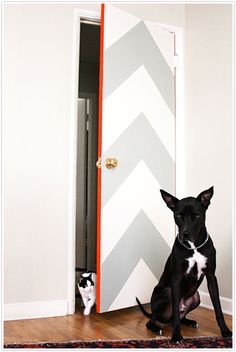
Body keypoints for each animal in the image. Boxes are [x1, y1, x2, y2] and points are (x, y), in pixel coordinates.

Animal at [136, 187, 232, 344]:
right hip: (166, 293)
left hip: (196, 297)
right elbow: (175, 313)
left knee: (181, 317)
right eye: (179, 216)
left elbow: (218, 308)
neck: (194, 247)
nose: (185, 234)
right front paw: (176, 336)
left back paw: (190, 321)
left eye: (196, 215)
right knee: (154, 320)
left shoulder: (211, 277)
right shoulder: (176, 279)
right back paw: (156, 328)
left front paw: (225, 331)